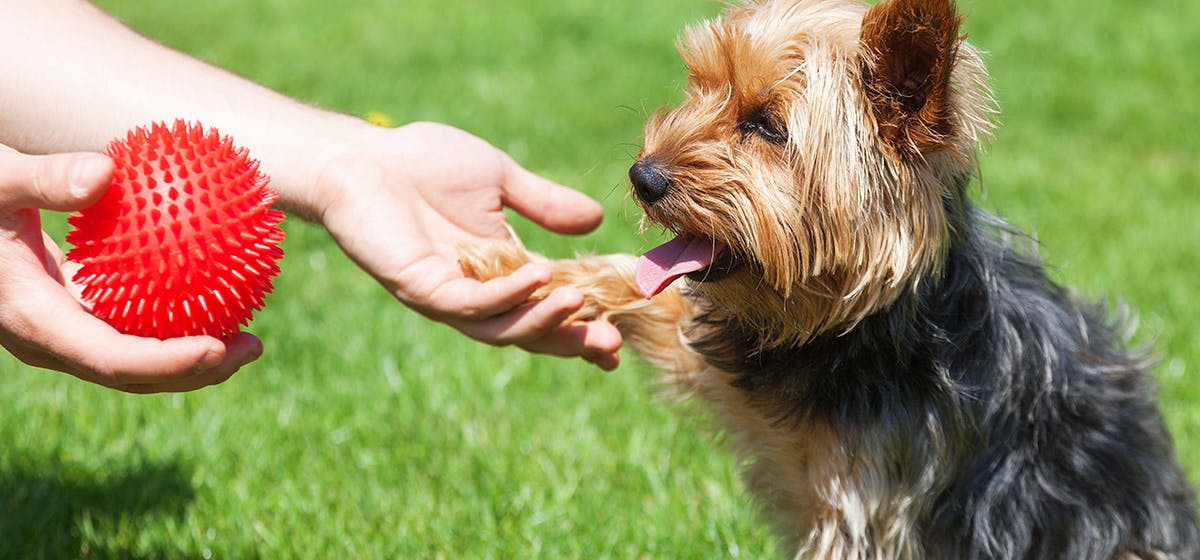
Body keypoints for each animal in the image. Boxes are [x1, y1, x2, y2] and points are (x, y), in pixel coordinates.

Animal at [460, 0, 1200, 556]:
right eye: (700, 88)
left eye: (767, 126)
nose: (644, 176)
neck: (854, 325)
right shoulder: (745, 365)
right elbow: (649, 295)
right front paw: (517, 269)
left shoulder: (867, 511)